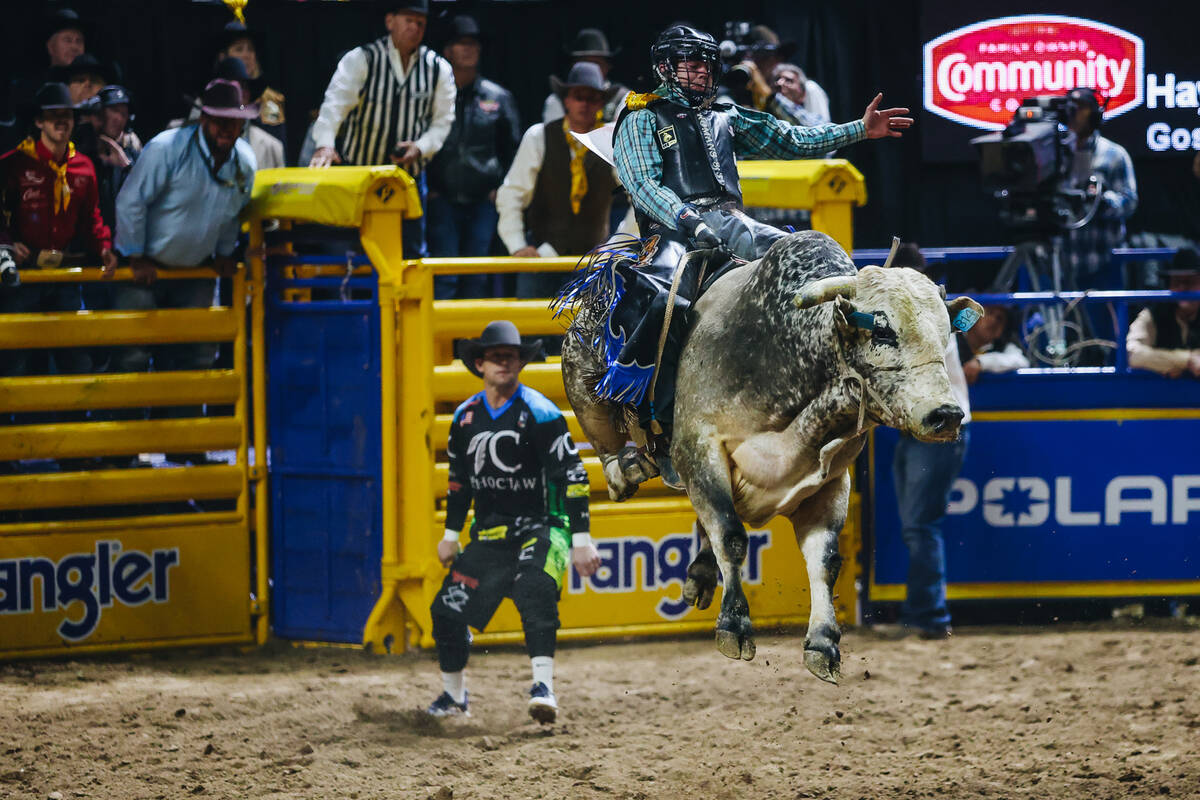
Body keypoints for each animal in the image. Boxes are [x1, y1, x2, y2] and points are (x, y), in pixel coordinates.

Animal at [556, 230, 979, 681]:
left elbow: (825, 559)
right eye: (883, 332)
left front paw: (823, 643)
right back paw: (626, 468)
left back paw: (701, 574)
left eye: (945, 335)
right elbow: (731, 536)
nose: (946, 415)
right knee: (602, 424)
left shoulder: (830, 480)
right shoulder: (701, 449)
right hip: (581, 359)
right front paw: (734, 626)